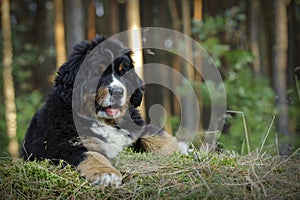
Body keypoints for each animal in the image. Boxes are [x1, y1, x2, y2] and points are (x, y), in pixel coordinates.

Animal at [21, 34, 180, 186]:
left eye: (123, 72)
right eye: (98, 72)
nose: (118, 92)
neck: (105, 121)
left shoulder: (134, 127)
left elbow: (153, 134)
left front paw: (179, 148)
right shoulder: (65, 145)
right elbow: (92, 155)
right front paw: (106, 174)